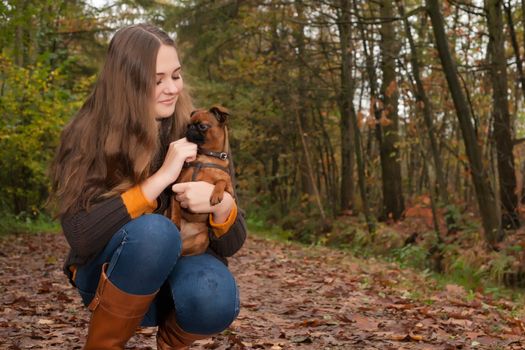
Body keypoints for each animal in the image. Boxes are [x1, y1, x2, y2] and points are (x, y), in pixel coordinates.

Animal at [171, 105, 232, 256]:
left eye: (202, 126)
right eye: (188, 125)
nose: (190, 128)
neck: (206, 157)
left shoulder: (230, 191)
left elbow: (221, 181)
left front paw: (216, 194)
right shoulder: (177, 187)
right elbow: (175, 209)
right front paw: (175, 221)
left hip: (203, 239)